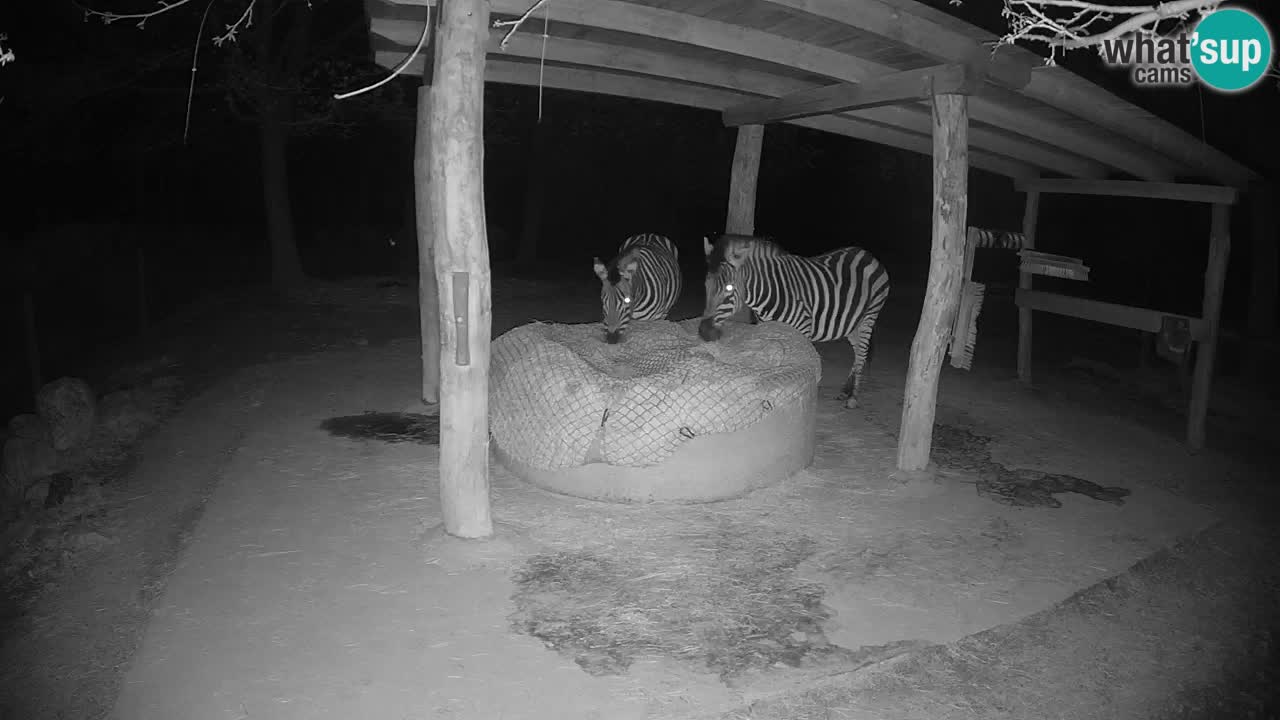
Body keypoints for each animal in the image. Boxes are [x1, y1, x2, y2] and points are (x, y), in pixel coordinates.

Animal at [699, 234, 891, 409]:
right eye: (706, 285)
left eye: (729, 288)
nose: (704, 332)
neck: (770, 292)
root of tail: (866, 253)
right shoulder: (767, 328)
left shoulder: (802, 330)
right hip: (852, 324)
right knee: (858, 352)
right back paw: (846, 391)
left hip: (869, 316)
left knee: (863, 353)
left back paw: (853, 397)